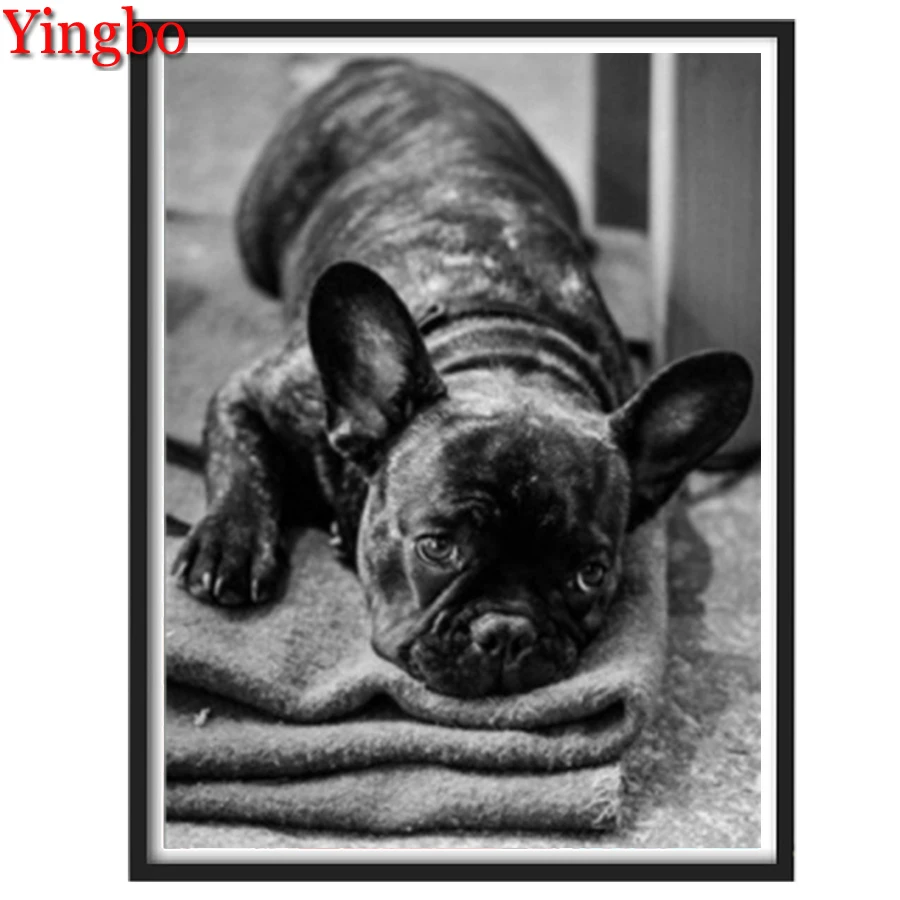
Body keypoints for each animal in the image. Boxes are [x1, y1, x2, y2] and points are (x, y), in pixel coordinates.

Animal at [172, 59, 753, 698]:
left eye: (590, 575)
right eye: (436, 548)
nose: (506, 630)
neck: (501, 338)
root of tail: (389, 66)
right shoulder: (253, 391)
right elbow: (242, 459)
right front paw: (230, 543)